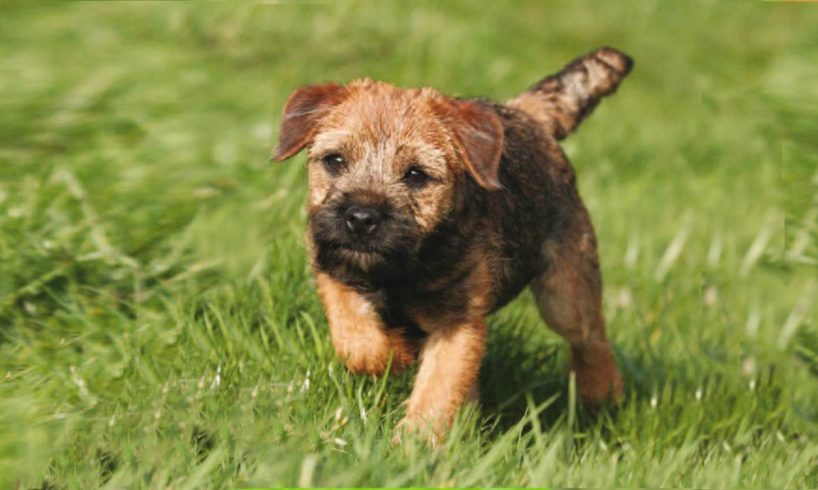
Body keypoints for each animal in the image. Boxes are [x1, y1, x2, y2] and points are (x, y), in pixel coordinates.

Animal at [270, 47, 636, 442]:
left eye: (416, 175)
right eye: (335, 160)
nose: (361, 218)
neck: (402, 270)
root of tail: (526, 115)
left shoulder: (457, 324)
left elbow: (438, 388)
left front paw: (412, 445)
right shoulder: (333, 266)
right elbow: (354, 337)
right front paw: (395, 353)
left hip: (565, 291)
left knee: (591, 337)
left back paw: (601, 395)